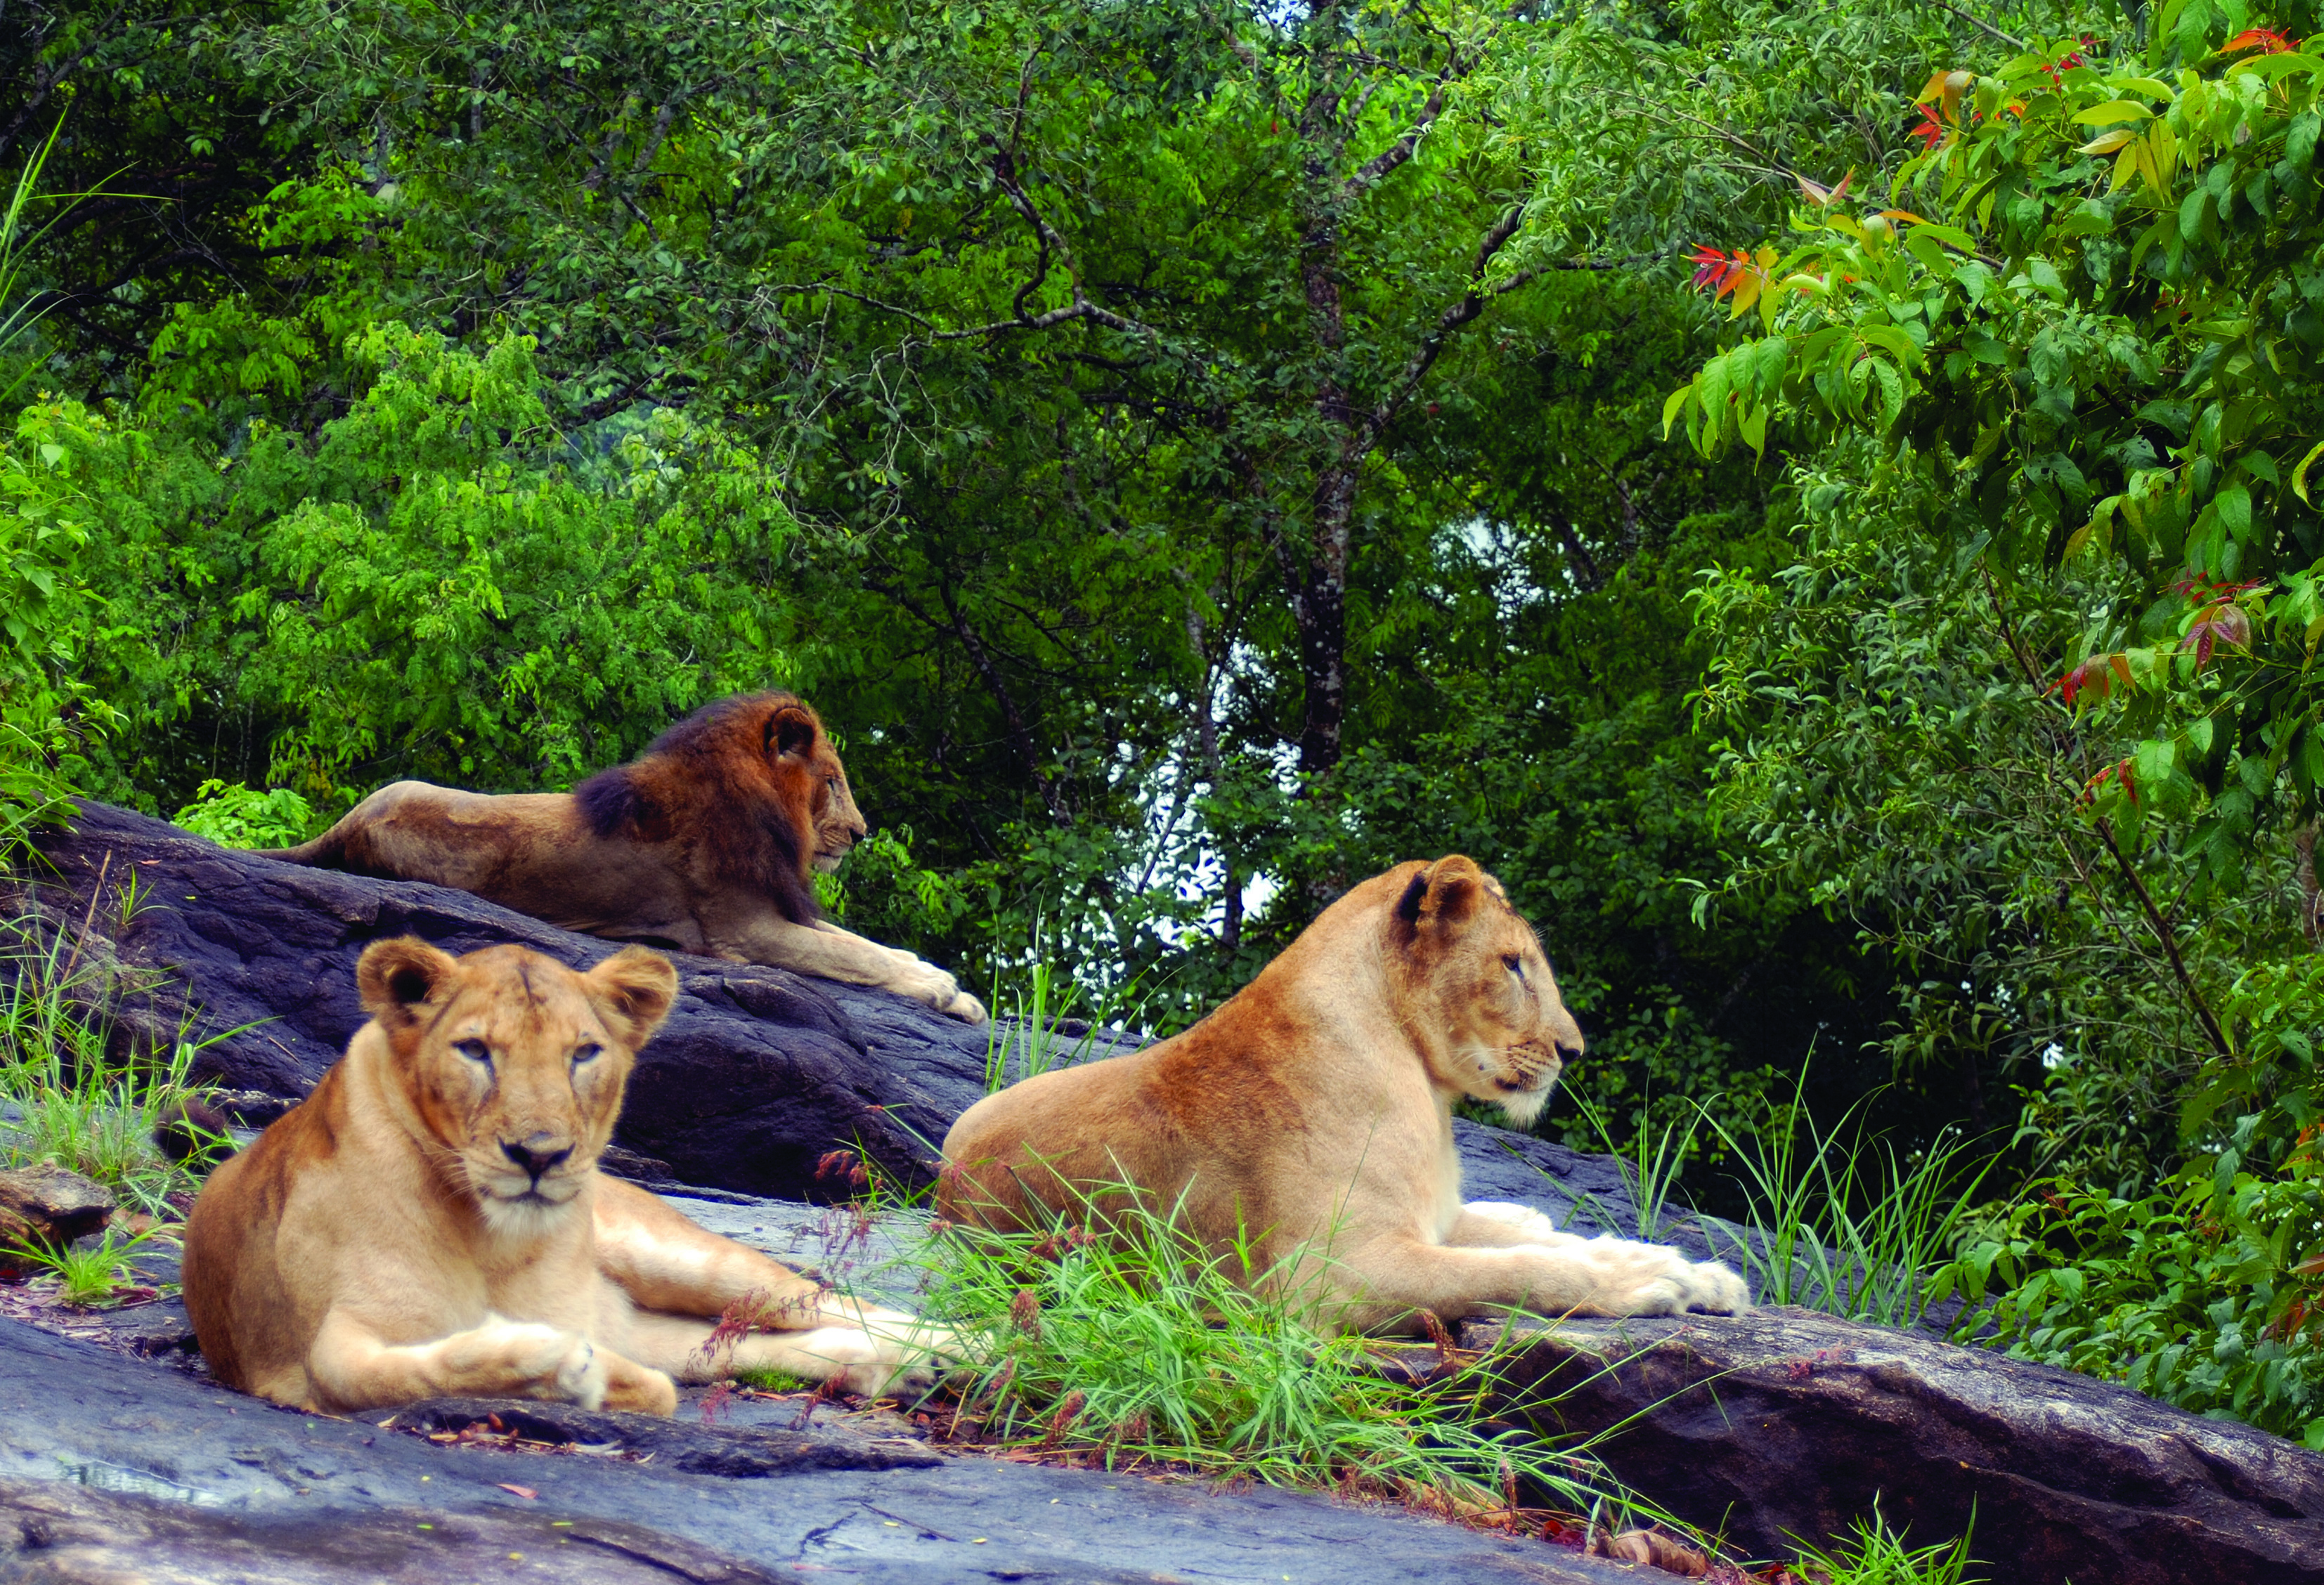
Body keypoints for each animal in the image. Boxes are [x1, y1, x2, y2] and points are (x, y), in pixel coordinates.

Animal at [178, 939, 943, 1403]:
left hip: (676, 1257)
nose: (540, 1155)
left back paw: (956, 1350)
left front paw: (570, 1366)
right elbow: (383, 1374)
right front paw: (552, 1363)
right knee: (761, 1339)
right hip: (661, 1322)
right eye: (475, 1050)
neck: (488, 1238)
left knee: (830, 1302)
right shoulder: (310, 1347)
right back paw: (901, 1369)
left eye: (583, 1054)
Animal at [264, 692, 989, 1022]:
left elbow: (867, 947)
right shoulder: (742, 930)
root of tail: (346, 824)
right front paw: (942, 989)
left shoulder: (775, 909)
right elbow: (856, 957)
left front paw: (949, 987)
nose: (863, 833)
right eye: (834, 782)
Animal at [934, 850, 1747, 1319]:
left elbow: (1543, 1244)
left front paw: (1698, 1274)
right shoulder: (1325, 1278)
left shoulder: (1419, 1219)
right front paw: (1646, 1287)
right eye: (1513, 965)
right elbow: (1517, 1269)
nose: (1573, 1051)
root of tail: (943, 1186)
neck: (1426, 1091)